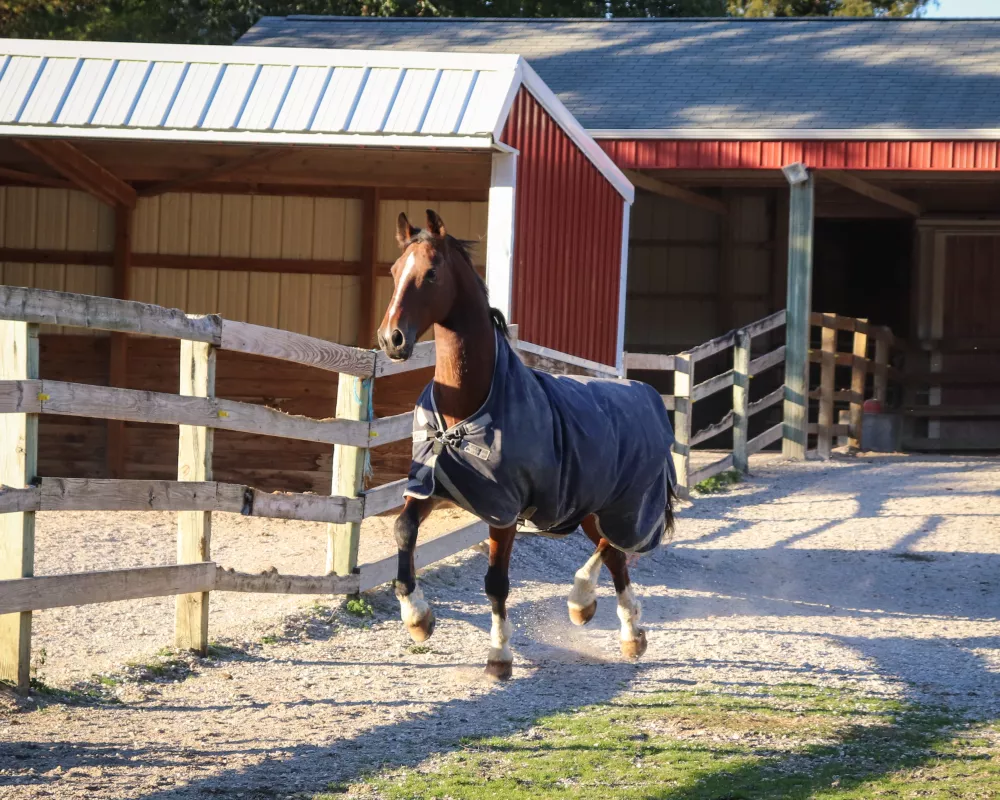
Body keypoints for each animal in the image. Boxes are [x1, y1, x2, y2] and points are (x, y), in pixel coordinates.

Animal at [378, 208, 676, 680]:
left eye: (431, 273)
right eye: (393, 271)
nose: (392, 339)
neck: (469, 407)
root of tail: (643, 393)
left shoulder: (503, 511)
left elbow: (496, 582)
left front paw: (499, 657)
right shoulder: (431, 486)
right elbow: (403, 529)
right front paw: (418, 618)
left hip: (624, 506)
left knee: (615, 547)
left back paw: (582, 602)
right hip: (589, 506)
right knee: (615, 557)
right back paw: (629, 635)